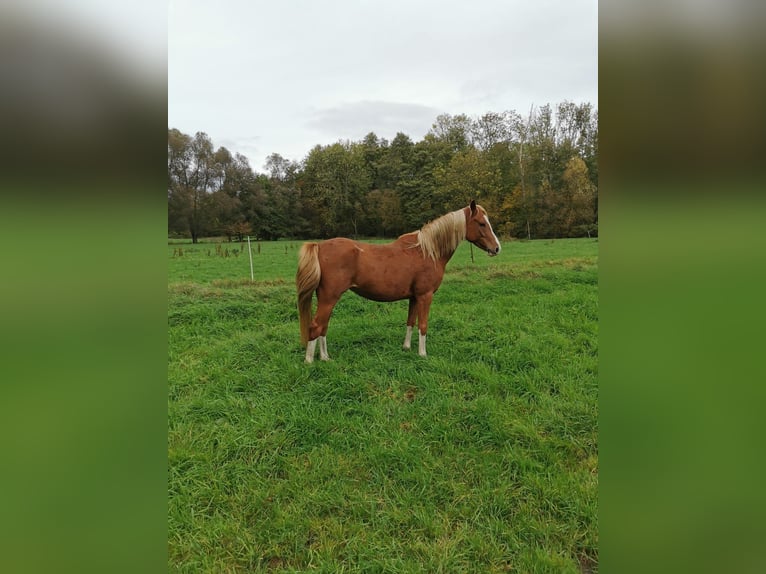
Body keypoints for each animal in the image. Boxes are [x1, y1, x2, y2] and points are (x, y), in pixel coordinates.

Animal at [296, 201, 504, 364]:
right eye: (482, 223)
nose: (497, 248)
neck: (427, 251)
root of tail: (319, 246)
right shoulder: (425, 296)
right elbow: (423, 325)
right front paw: (422, 354)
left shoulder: (414, 297)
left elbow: (410, 322)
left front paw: (406, 348)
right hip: (329, 298)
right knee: (316, 326)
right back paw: (309, 361)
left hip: (326, 299)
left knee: (323, 327)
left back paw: (325, 358)